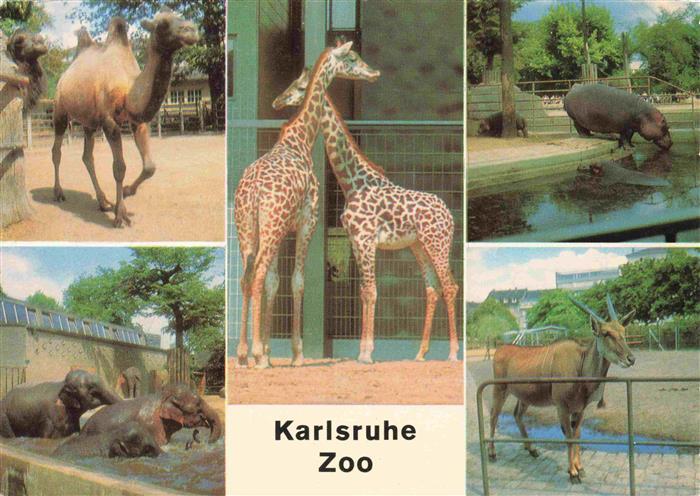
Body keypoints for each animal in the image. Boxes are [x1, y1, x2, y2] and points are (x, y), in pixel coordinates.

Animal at [51, 8, 199, 227]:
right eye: (163, 23)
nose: (191, 30)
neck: (128, 90)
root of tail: (64, 74)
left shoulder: (138, 122)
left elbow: (150, 167)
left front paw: (128, 192)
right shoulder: (109, 122)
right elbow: (119, 167)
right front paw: (121, 215)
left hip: (89, 122)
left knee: (87, 156)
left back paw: (103, 201)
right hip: (60, 109)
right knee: (57, 150)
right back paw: (59, 193)